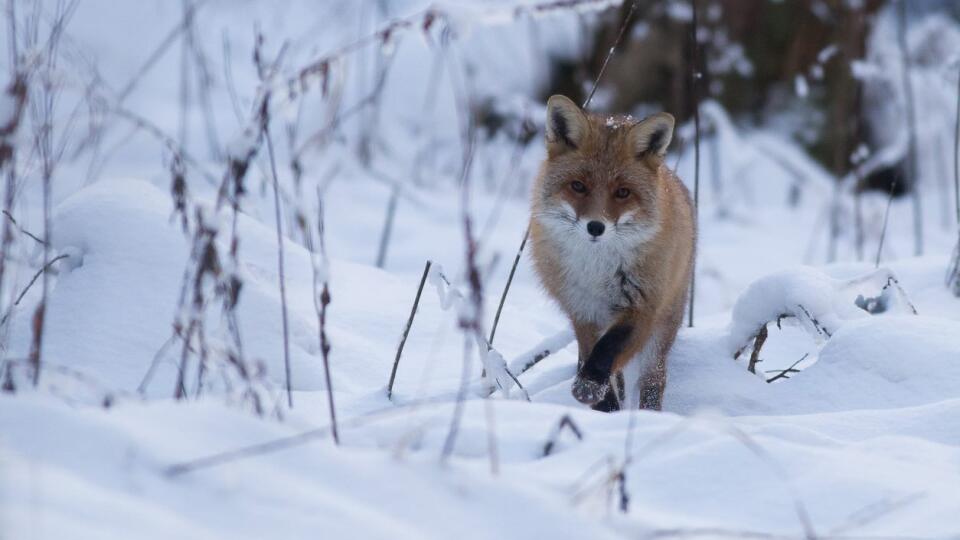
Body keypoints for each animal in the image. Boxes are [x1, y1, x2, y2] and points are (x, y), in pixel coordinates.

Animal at [528, 95, 692, 412]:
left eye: (623, 193)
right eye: (578, 186)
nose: (596, 227)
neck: (597, 272)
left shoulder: (643, 306)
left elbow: (609, 349)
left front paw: (589, 386)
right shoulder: (581, 309)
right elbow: (594, 353)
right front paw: (603, 405)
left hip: (665, 324)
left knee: (653, 379)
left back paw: (649, 414)